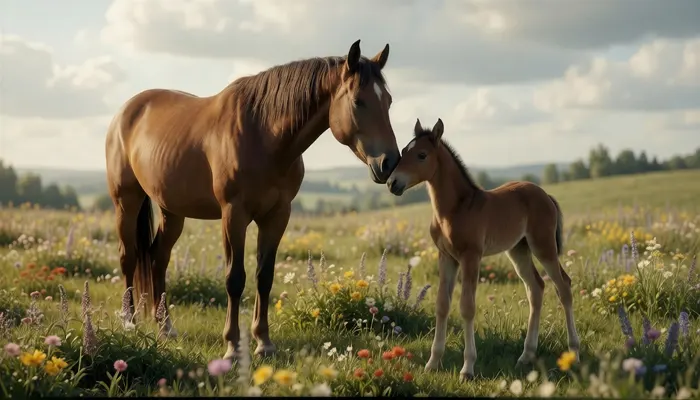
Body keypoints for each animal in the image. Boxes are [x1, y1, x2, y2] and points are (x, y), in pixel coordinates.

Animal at [105, 40, 401, 360]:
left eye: (389, 101)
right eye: (358, 101)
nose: (389, 163)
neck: (263, 134)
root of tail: (125, 111)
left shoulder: (277, 215)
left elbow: (264, 276)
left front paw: (264, 342)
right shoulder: (234, 215)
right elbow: (235, 278)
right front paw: (233, 346)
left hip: (172, 211)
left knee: (158, 258)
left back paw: (165, 328)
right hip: (126, 202)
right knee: (129, 256)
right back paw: (129, 323)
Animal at [386, 119, 580, 381]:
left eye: (422, 155)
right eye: (404, 151)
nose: (392, 183)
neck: (454, 209)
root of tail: (545, 194)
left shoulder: (471, 257)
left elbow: (467, 307)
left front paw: (467, 368)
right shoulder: (446, 257)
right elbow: (442, 305)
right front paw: (432, 363)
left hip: (543, 246)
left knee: (564, 286)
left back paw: (574, 352)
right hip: (518, 250)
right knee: (536, 288)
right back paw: (526, 355)